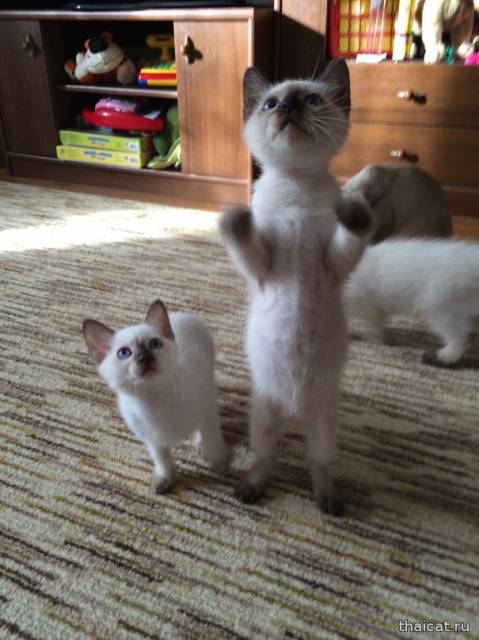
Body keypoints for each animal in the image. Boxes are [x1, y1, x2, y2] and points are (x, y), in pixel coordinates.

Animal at [83, 300, 231, 493]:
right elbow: (163, 461)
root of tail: (181, 313)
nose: (144, 357)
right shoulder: (152, 438)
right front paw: (165, 480)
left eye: (154, 344)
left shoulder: (207, 415)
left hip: (208, 386)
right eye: (124, 353)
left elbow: (214, 445)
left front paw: (221, 467)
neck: (153, 400)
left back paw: (201, 445)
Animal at [219, 60, 373, 515]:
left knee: (315, 462)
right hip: (262, 418)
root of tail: (294, 413)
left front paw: (357, 207)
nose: (288, 106)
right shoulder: (262, 269)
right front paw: (234, 216)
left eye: (312, 100)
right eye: (271, 104)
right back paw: (249, 489)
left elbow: (353, 228)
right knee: (267, 456)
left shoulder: (335, 263)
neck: (297, 186)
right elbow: (245, 237)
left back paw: (329, 501)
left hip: (323, 424)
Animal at [343, 238, 479, 367]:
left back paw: (441, 357)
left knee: (463, 338)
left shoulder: (368, 306)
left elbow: (375, 327)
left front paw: (375, 340)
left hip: (439, 307)